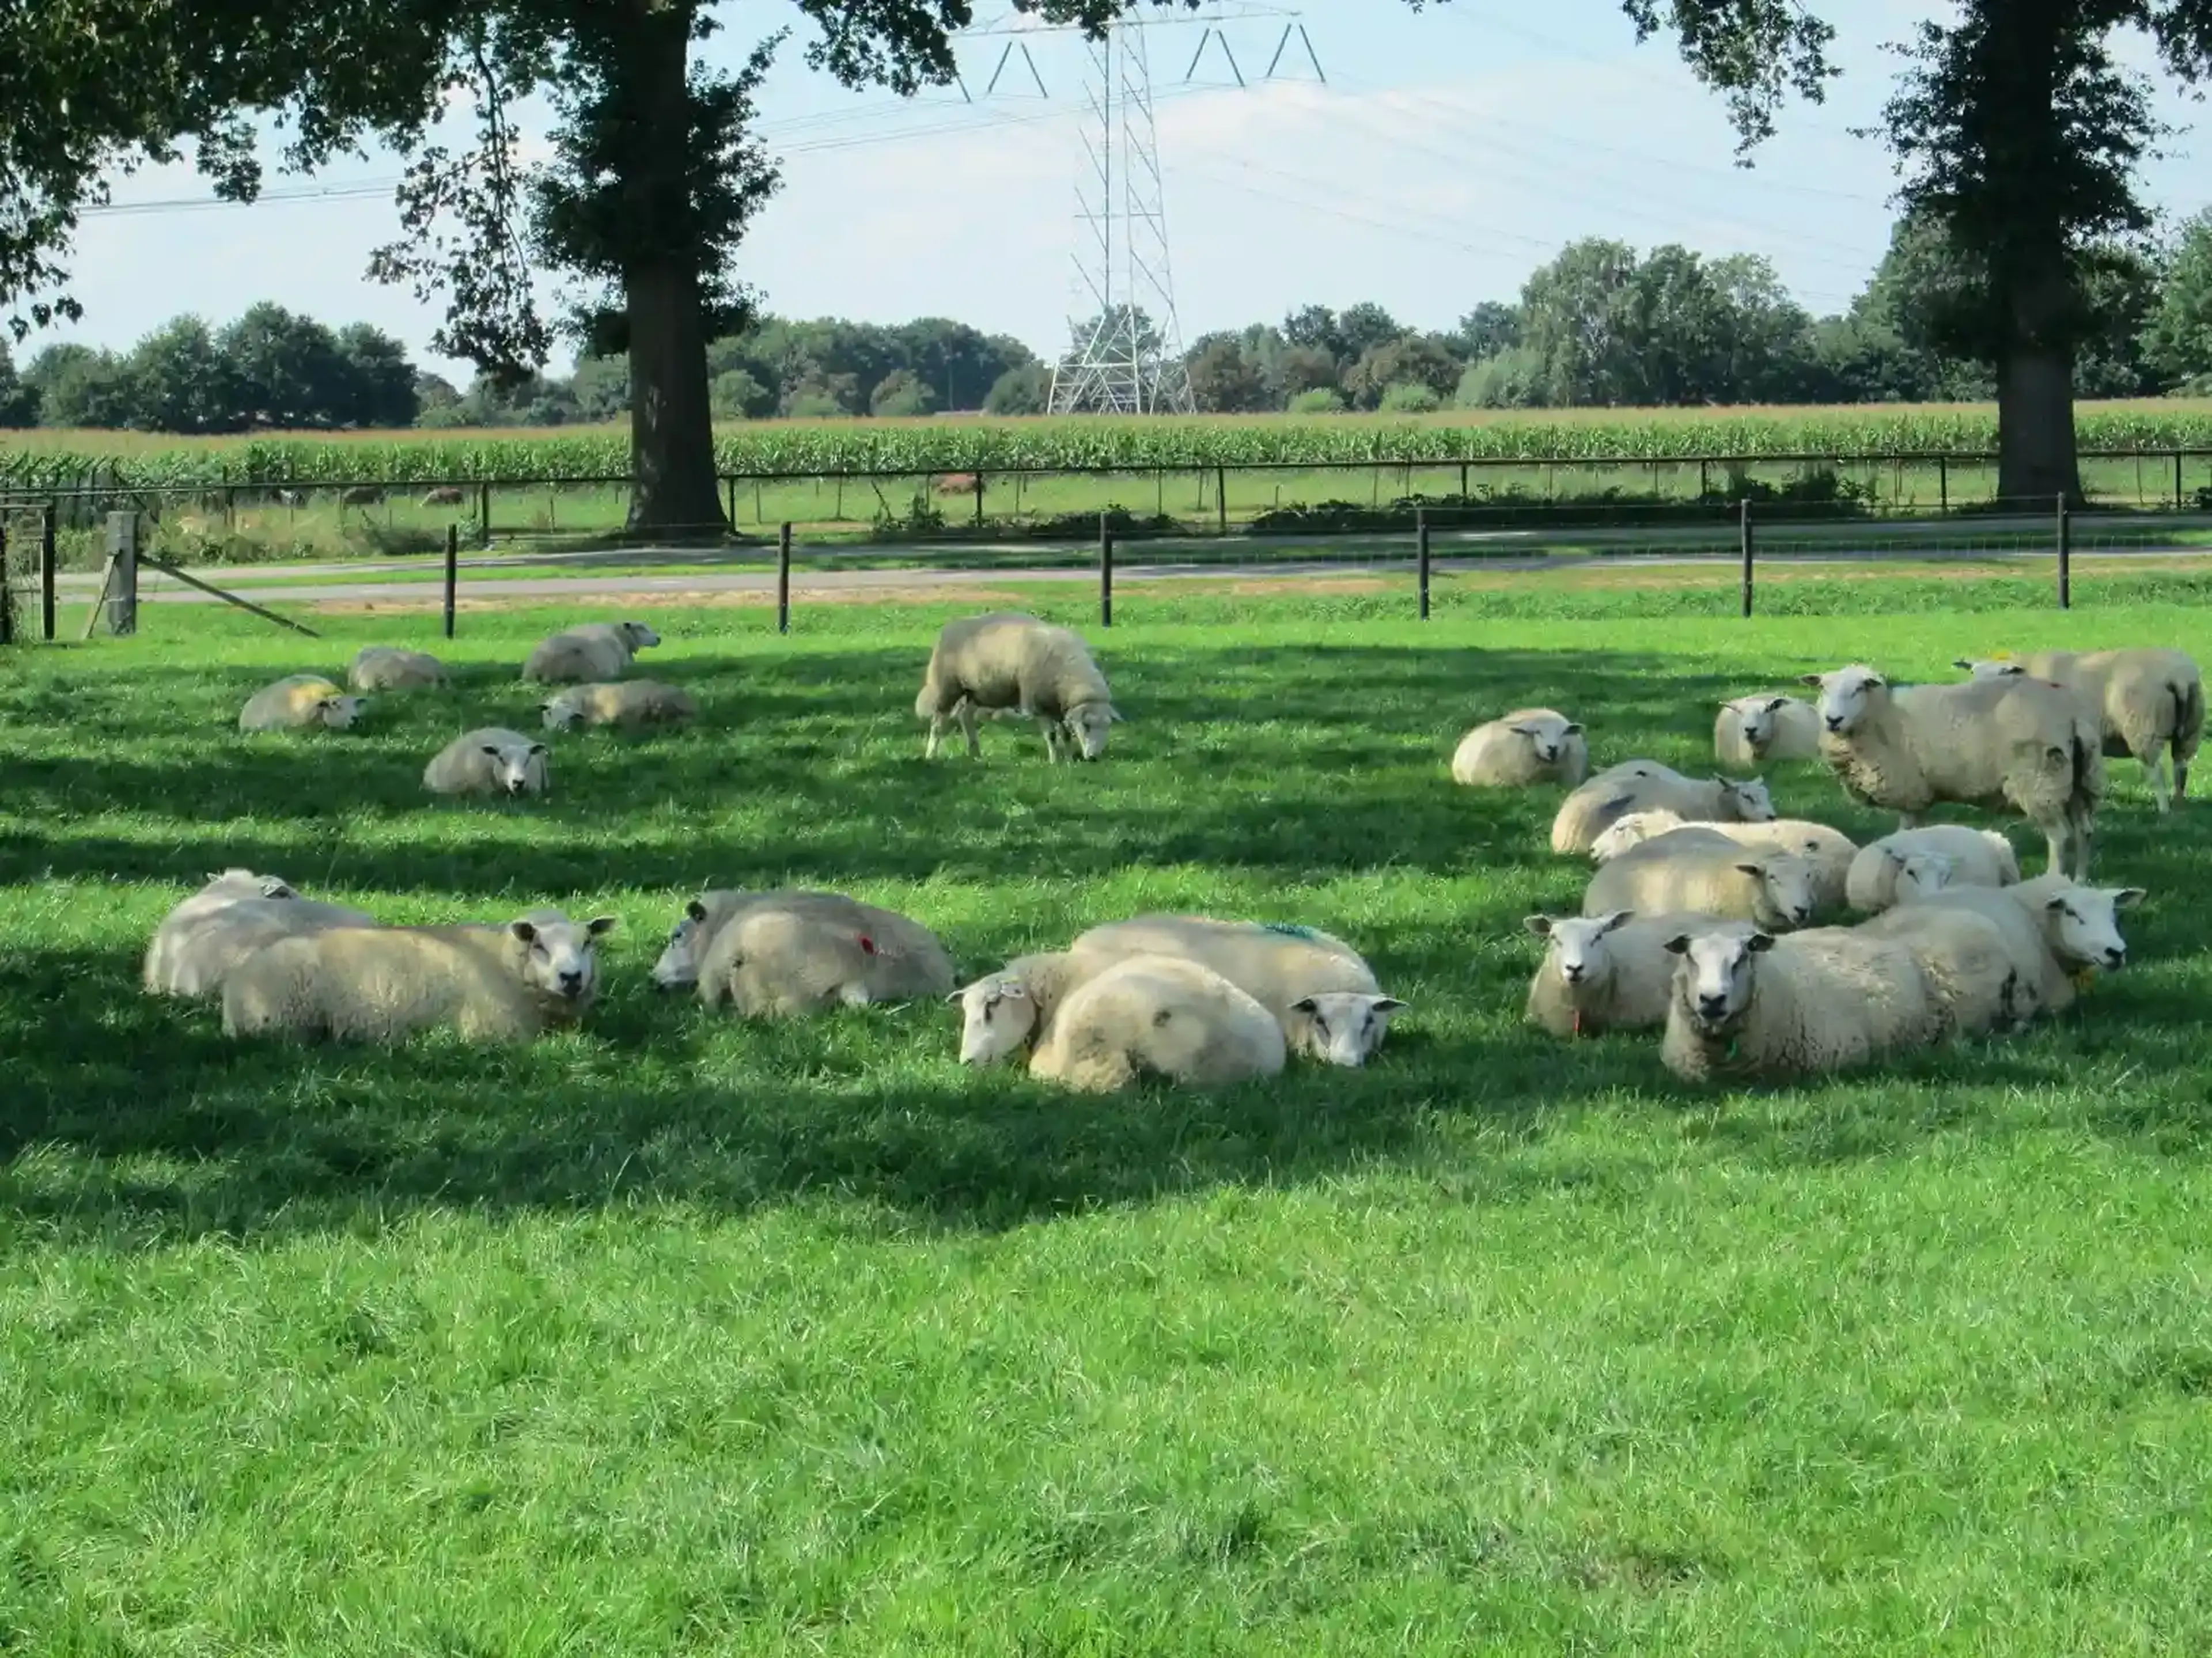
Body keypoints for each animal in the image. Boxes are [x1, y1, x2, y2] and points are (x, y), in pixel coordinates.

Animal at [222, 909, 616, 1043]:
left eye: (587, 942)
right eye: (539, 945)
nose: (571, 977)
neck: (503, 961)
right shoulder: (491, 1031)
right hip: (283, 1023)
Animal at [915, 611, 1122, 763]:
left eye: (1107, 726)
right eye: (1086, 725)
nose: (1094, 758)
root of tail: (949, 627)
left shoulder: (1057, 704)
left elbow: (1065, 734)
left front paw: (1070, 761)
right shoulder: (1039, 703)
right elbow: (1051, 735)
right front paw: (1055, 762)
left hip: (977, 691)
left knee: (965, 716)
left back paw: (975, 753)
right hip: (947, 687)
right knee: (938, 723)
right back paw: (931, 755)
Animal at [1801, 663, 2104, 879]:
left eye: (1860, 689)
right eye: (1823, 689)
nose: (1833, 720)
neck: (1882, 719)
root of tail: (2072, 713)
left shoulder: (1911, 792)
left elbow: (1904, 832)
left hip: (2040, 780)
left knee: (2060, 836)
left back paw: (2054, 879)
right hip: (2079, 781)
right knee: (2085, 831)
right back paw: (2079, 881)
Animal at [1956, 649, 2204, 812]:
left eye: (2001, 674)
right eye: (1973, 674)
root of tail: (2178, 677)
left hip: (2144, 726)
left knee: (2157, 771)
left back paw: (2164, 810)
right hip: (2190, 727)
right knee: (2181, 768)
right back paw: (2180, 805)